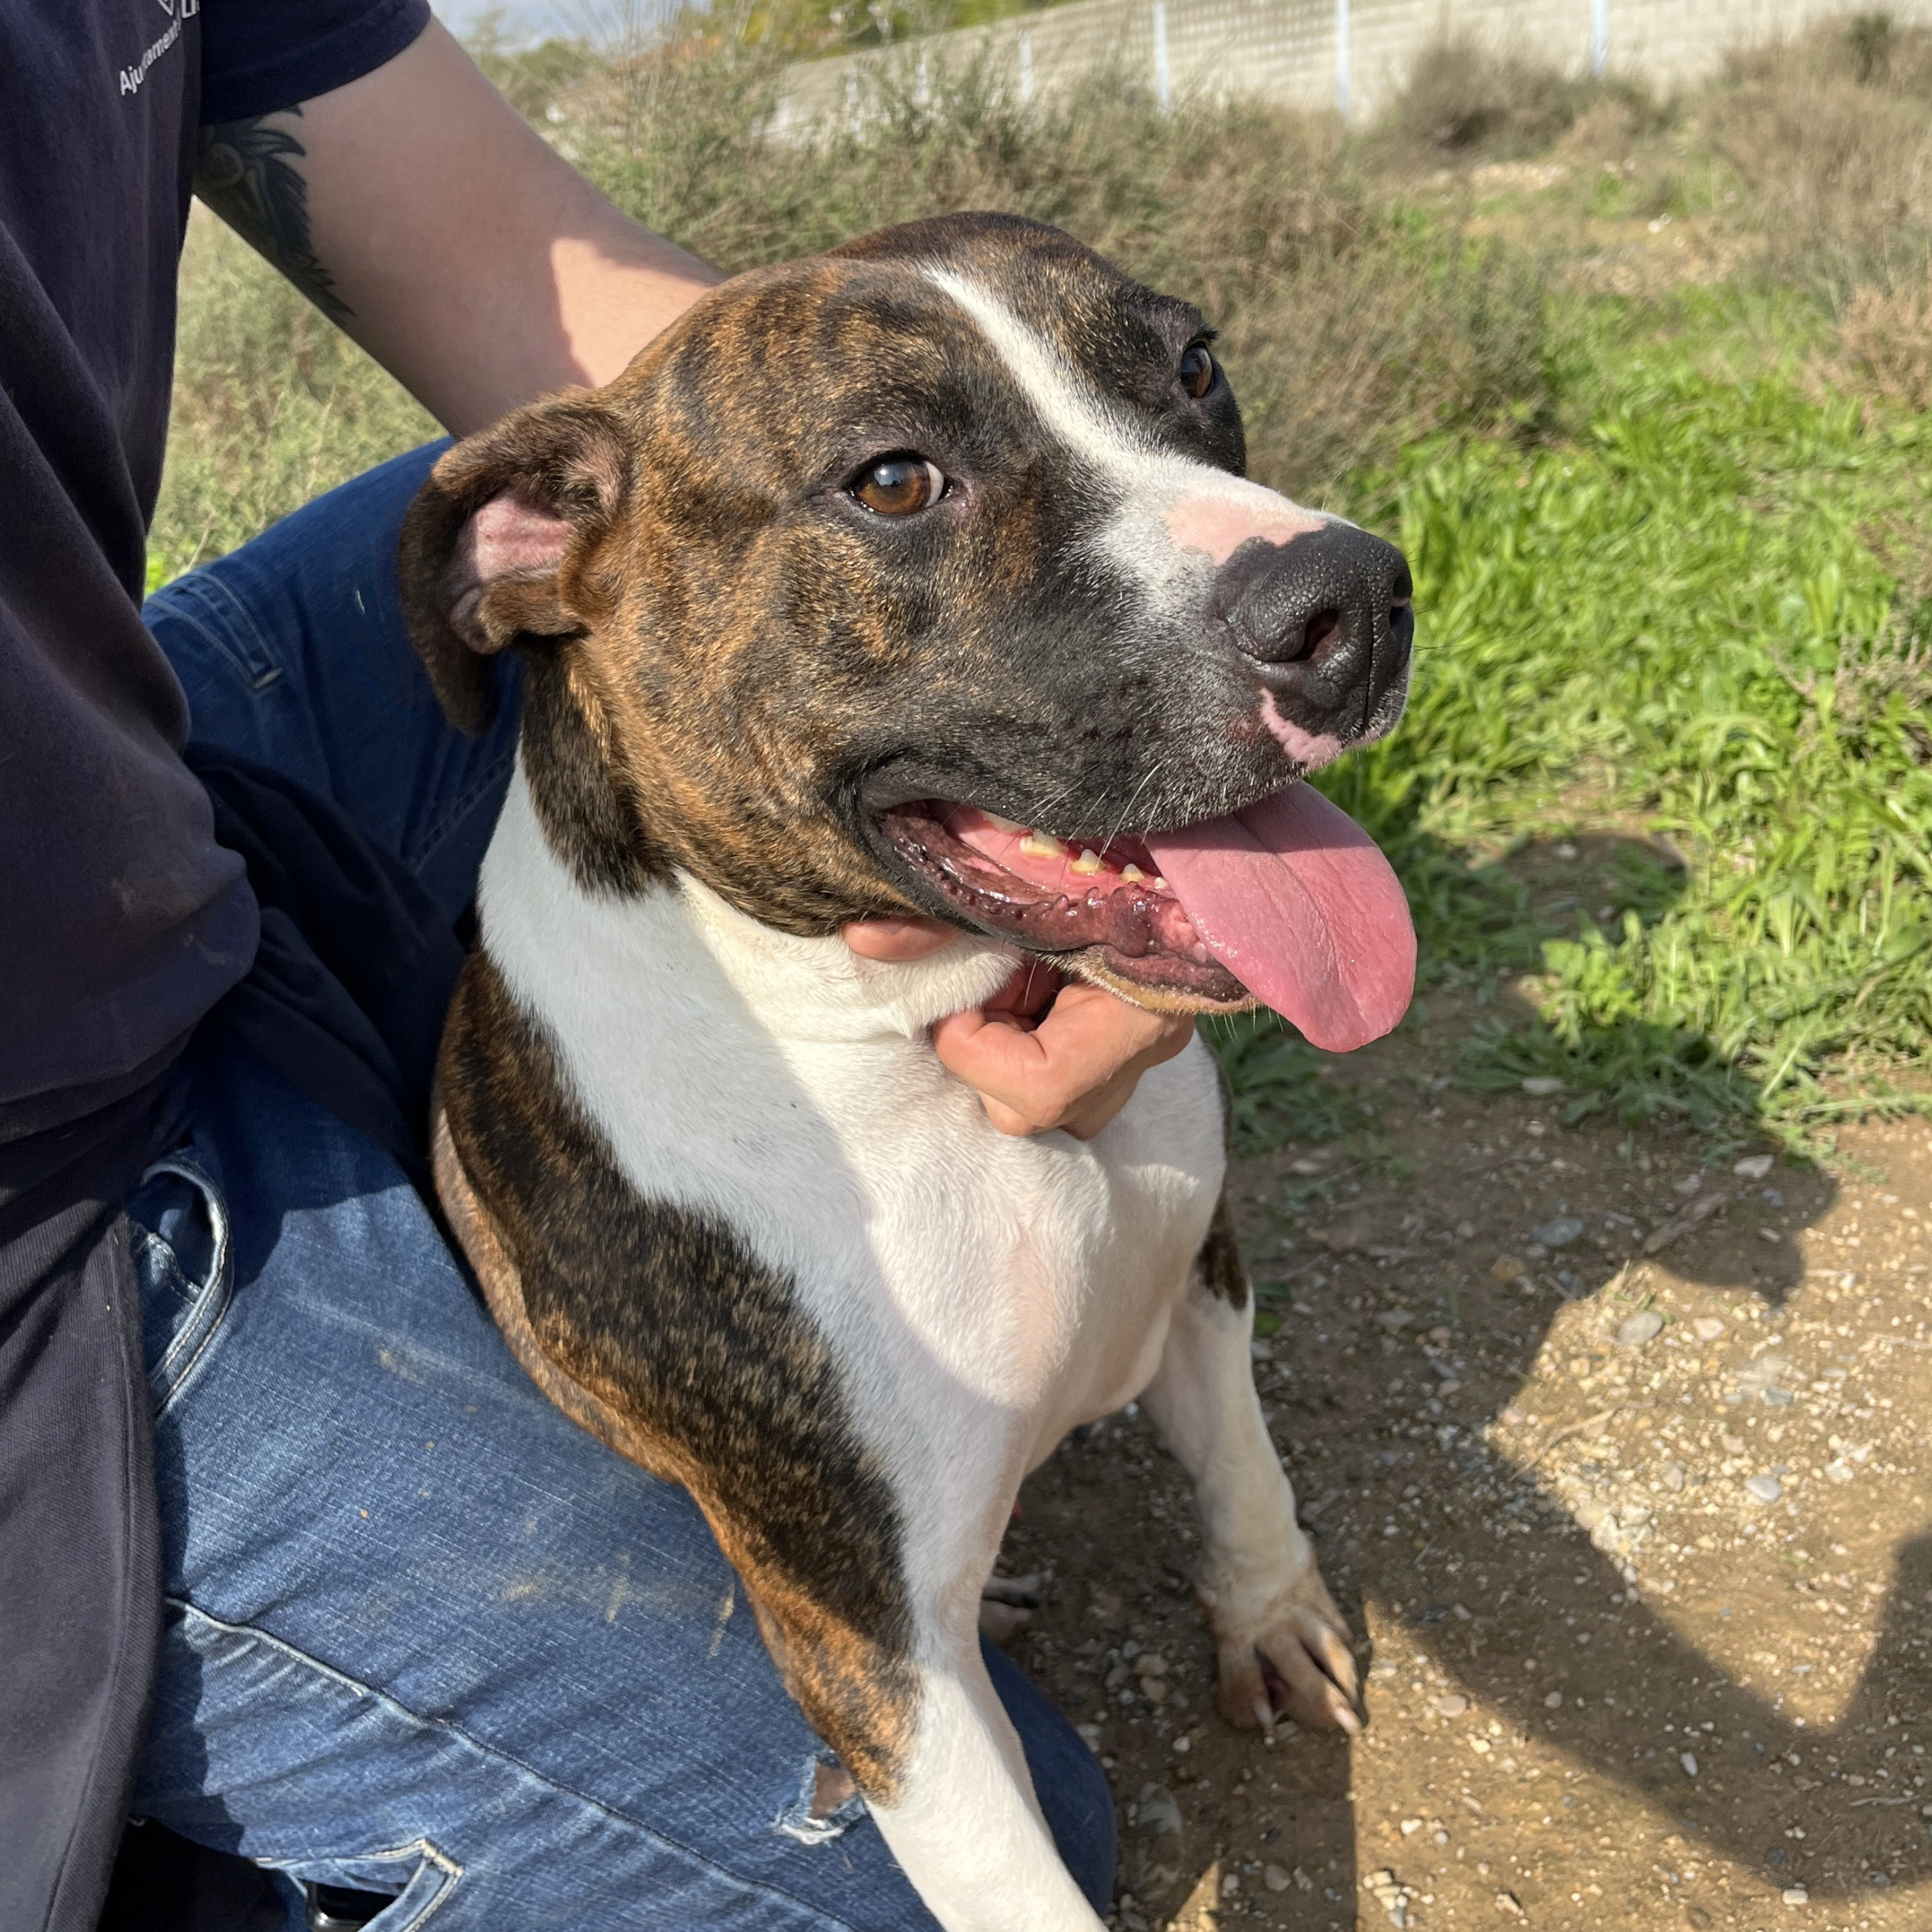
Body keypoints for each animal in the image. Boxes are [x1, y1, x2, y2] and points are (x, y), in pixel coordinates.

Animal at [398, 211, 1416, 1932]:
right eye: (892, 479)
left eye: (1194, 366)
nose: (1355, 598)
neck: (898, 1058)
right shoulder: (879, 1667)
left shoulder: (1198, 1264)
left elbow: (1243, 1471)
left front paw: (1271, 1615)